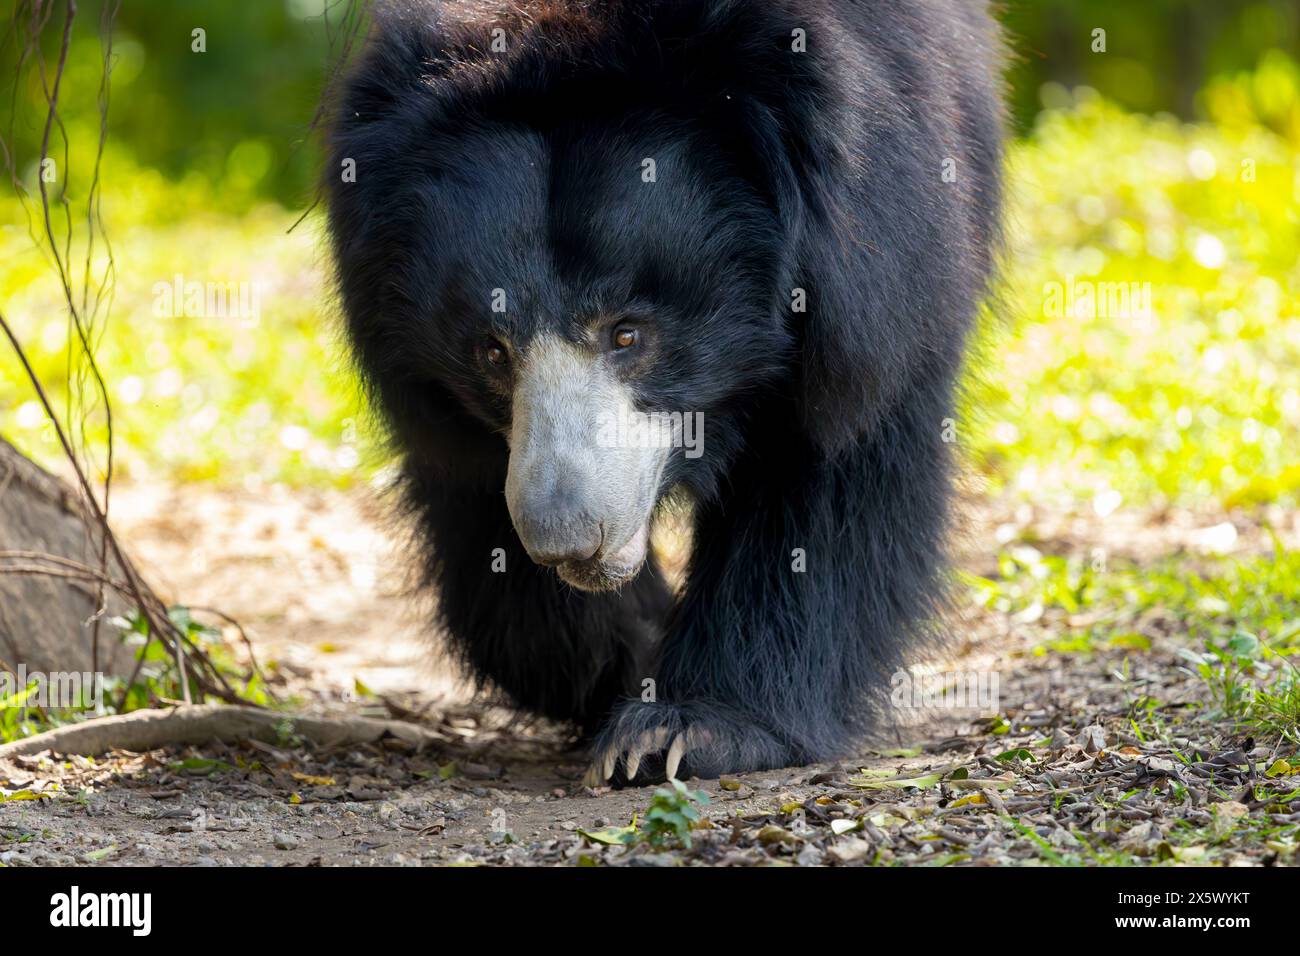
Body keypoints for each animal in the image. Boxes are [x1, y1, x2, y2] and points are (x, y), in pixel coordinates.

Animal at [325, 0, 1003, 785]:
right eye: (491, 350)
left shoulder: (882, 275)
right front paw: (618, 662)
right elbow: (472, 492)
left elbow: (831, 472)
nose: (565, 540)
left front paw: (683, 729)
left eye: (628, 334)